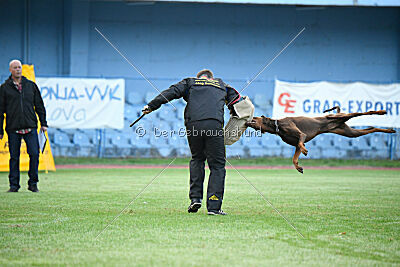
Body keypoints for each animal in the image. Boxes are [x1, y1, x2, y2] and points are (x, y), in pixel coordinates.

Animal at [245, 108, 396, 175]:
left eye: (255, 117)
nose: (247, 119)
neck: (277, 125)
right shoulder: (297, 144)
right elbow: (294, 157)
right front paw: (298, 167)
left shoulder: (302, 135)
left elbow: (301, 143)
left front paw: (305, 151)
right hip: (348, 132)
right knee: (371, 128)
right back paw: (389, 130)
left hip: (342, 117)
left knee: (361, 113)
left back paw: (381, 112)